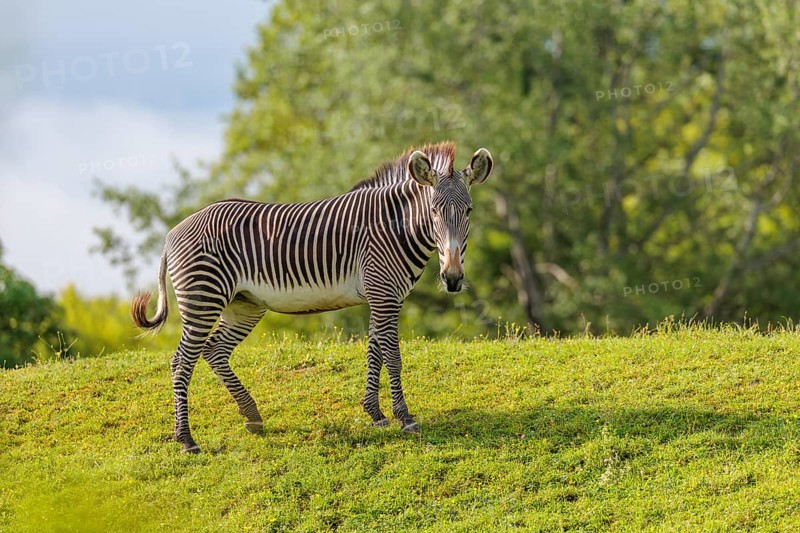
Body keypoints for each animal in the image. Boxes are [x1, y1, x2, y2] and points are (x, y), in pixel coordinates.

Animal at [132, 142, 493, 453]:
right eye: (433, 211)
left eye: (470, 210)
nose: (452, 278)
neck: (397, 227)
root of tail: (172, 234)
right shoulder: (384, 293)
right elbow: (392, 355)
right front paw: (404, 418)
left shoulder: (382, 295)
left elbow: (374, 351)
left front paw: (375, 413)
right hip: (203, 297)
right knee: (182, 361)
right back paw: (186, 439)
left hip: (243, 305)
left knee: (214, 349)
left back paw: (252, 416)